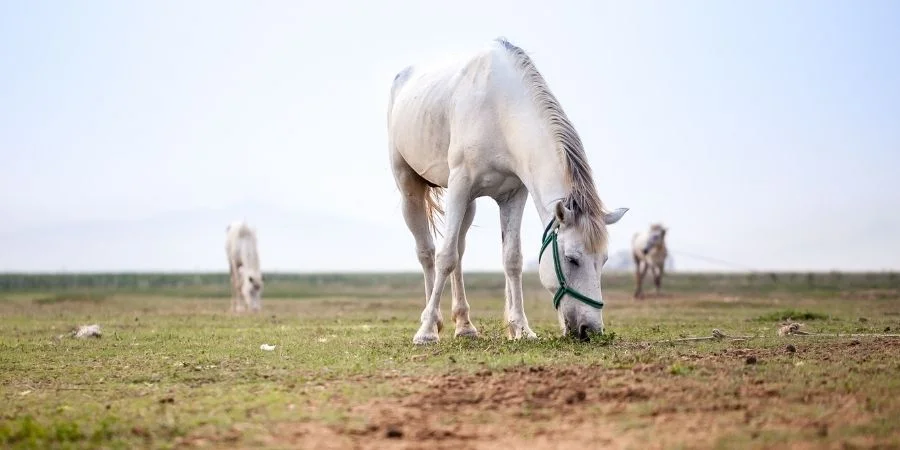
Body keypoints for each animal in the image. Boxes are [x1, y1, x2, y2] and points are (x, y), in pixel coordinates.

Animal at [387, 38, 629, 345]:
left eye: (604, 260)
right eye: (572, 259)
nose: (591, 329)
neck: (500, 112)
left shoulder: (513, 194)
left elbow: (511, 259)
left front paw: (521, 328)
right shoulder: (460, 183)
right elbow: (445, 257)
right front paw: (427, 330)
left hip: (468, 203)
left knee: (460, 252)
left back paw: (464, 325)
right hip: (410, 188)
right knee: (428, 252)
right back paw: (434, 321)